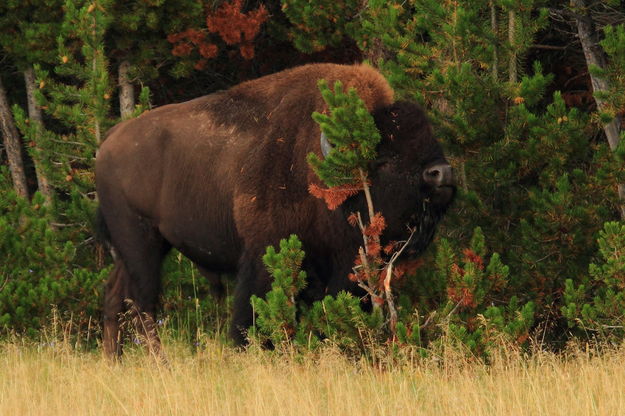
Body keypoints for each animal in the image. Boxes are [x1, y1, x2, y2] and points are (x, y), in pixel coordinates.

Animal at [95, 62, 456, 358]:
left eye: (430, 141)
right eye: (384, 159)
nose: (442, 173)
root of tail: (109, 140)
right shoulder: (264, 255)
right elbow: (251, 315)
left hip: (139, 248)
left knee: (115, 297)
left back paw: (114, 361)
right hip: (140, 242)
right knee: (143, 303)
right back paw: (161, 364)